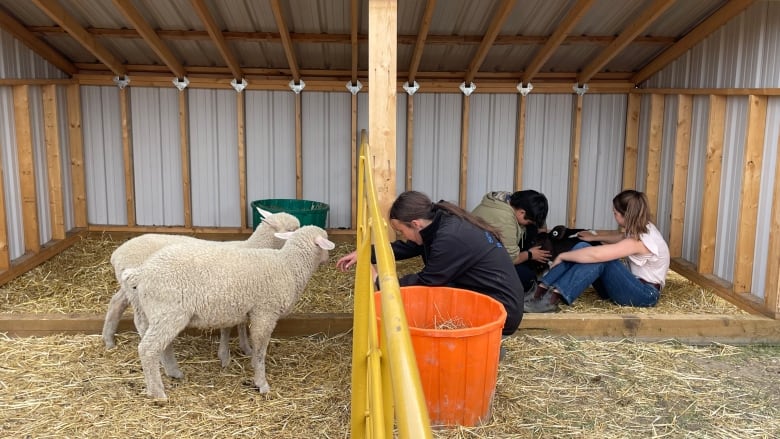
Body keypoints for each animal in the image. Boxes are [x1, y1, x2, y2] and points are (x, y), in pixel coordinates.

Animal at [103, 209, 298, 368]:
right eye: (291, 229)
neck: (252, 246)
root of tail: (116, 253)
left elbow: (241, 323)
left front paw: (245, 348)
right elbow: (230, 327)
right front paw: (226, 356)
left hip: (129, 288)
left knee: (116, 303)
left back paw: (108, 339)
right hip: (139, 294)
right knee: (141, 322)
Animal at [120, 225, 334, 400]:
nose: (329, 258)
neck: (289, 266)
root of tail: (142, 272)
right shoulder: (265, 312)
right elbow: (260, 350)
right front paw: (261, 383)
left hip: (156, 314)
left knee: (160, 345)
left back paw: (172, 372)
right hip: (168, 313)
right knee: (147, 349)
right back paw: (157, 392)